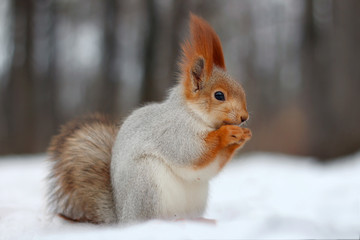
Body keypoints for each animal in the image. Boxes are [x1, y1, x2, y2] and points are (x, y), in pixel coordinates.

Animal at [47, 13, 250, 224]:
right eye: (219, 95)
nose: (244, 117)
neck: (194, 114)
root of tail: (121, 216)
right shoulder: (173, 131)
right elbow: (192, 153)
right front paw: (227, 133)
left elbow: (206, 169)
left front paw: (243, 136)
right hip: (147, 184)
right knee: (151, 218)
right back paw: (176, 221)